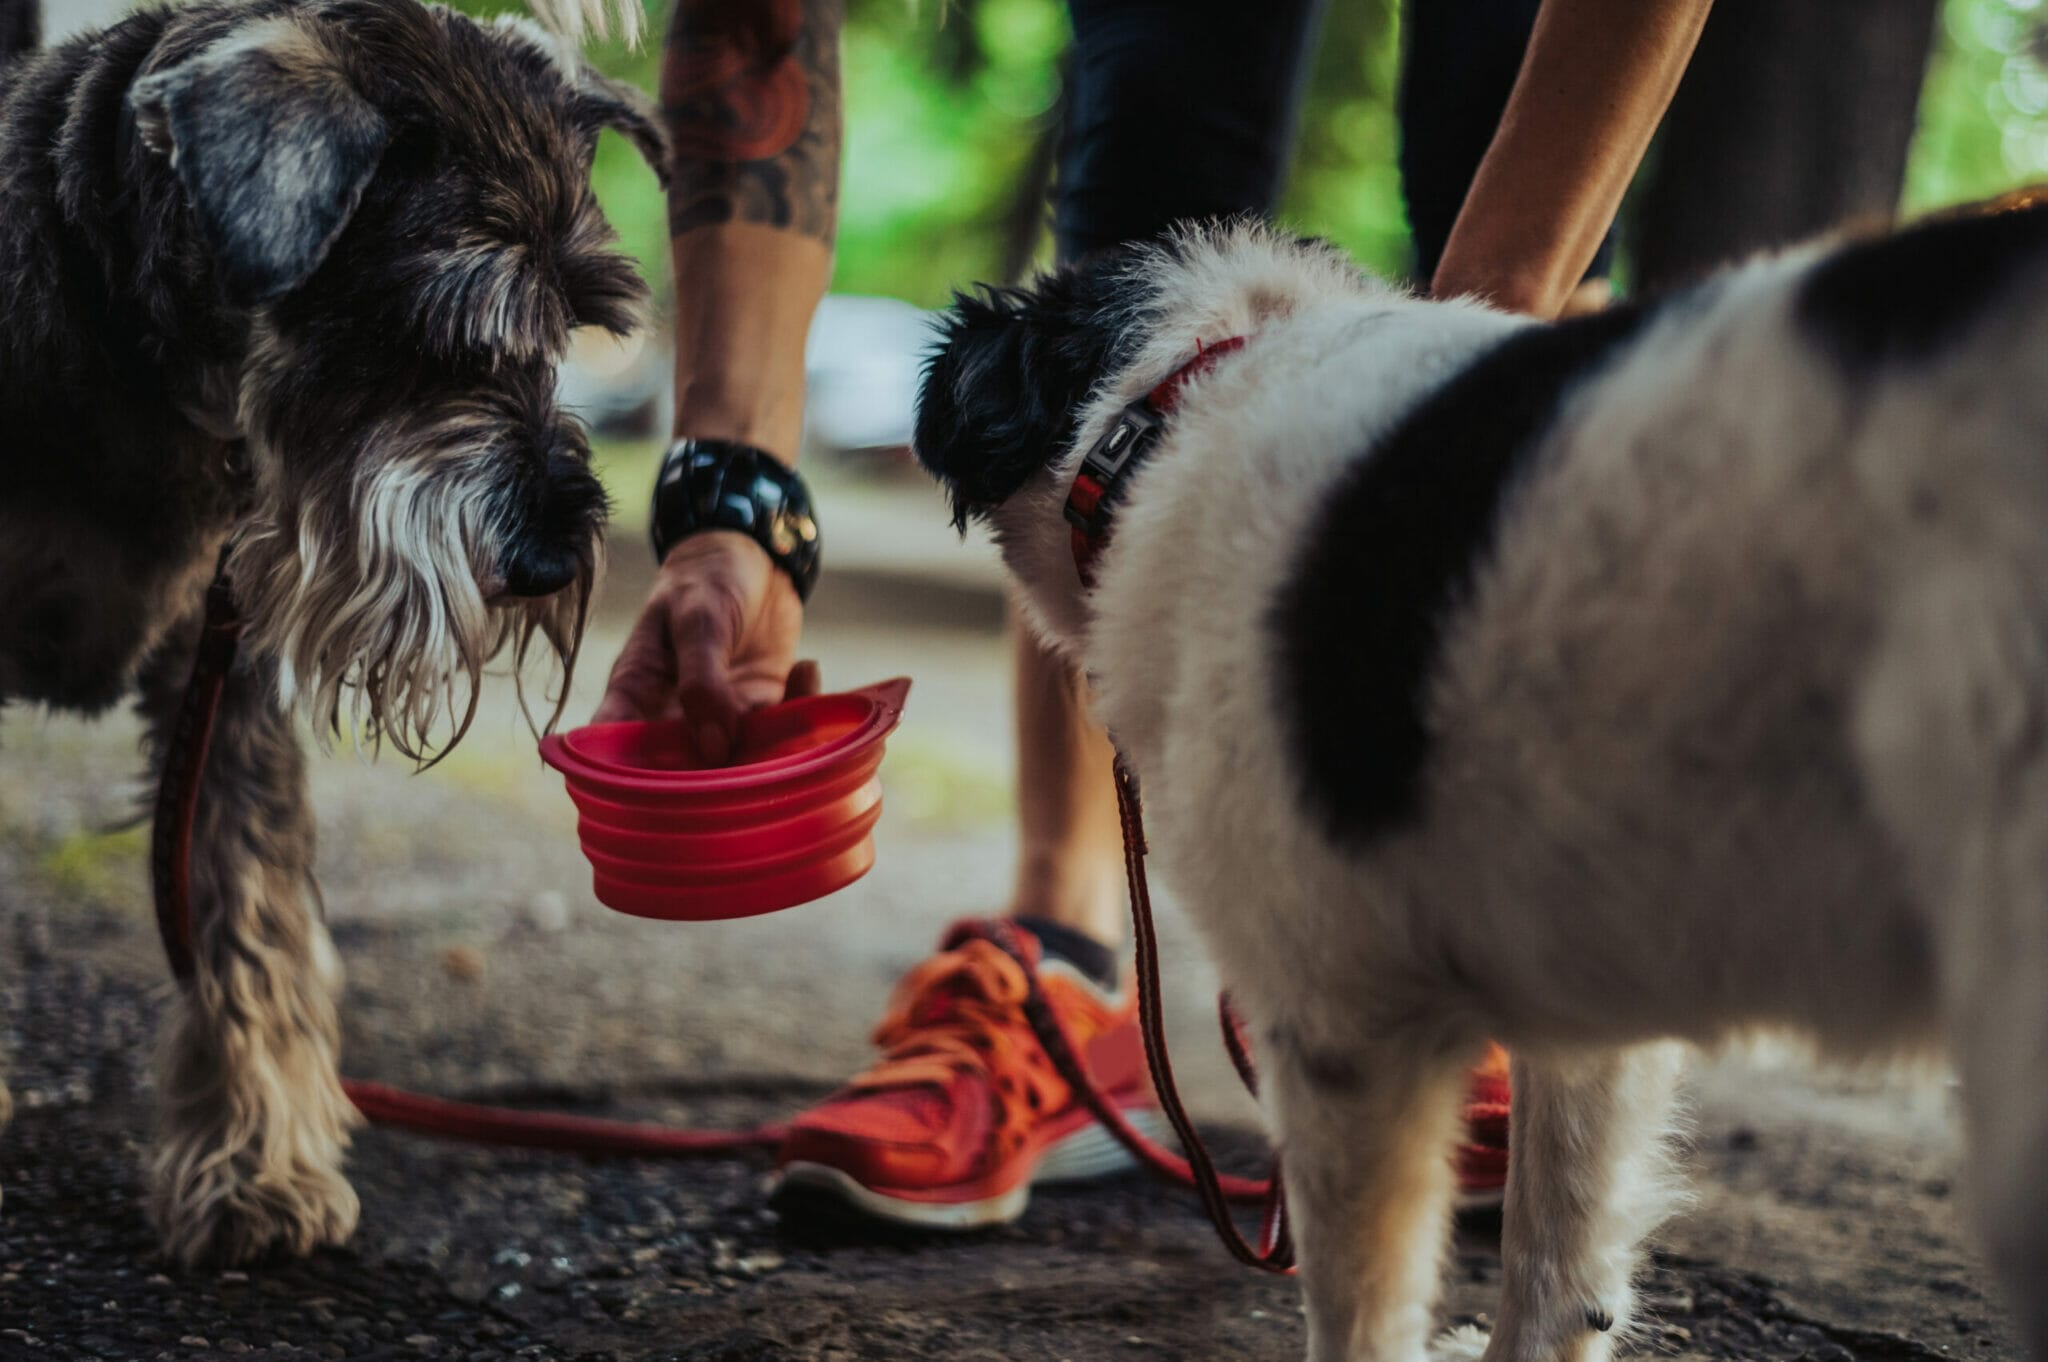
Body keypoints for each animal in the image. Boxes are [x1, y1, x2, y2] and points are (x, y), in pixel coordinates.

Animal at [0, 0, 659, 1261]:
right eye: (433, 337)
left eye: (573, 323)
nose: (553, 561)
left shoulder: (227, 671)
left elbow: (247, 913)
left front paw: (255, 1169)